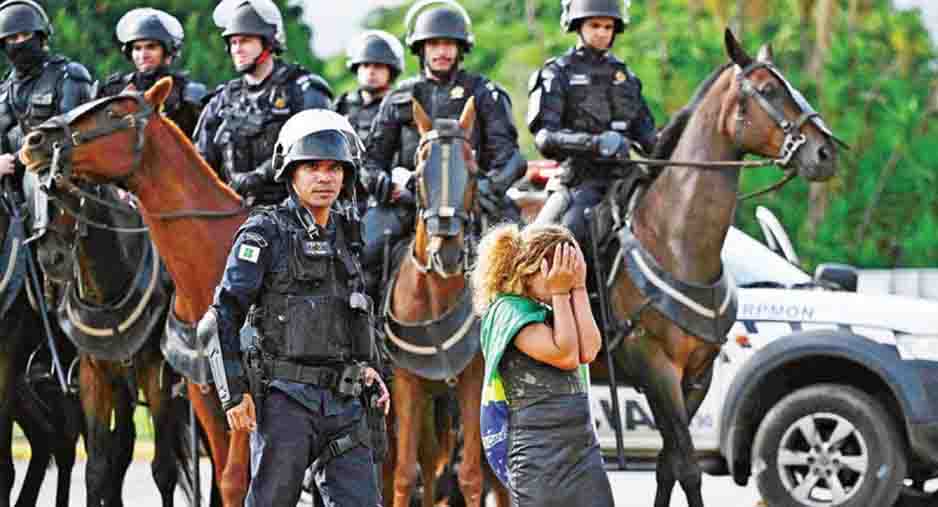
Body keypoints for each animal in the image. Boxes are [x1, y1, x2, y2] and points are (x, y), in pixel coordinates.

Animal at [382, 98, 508, 507]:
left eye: (472, 171)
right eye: (421, 171)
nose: (447, 254)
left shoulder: (474, 378)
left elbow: (470, 474)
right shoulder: (406, 384)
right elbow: (405, 474)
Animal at [592, 31, 840, 507]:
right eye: (767, 90)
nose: (825, 153)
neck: (677, 243)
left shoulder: (697, 375)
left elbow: (668, 464)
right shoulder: (654, 365)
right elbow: (688, 466)